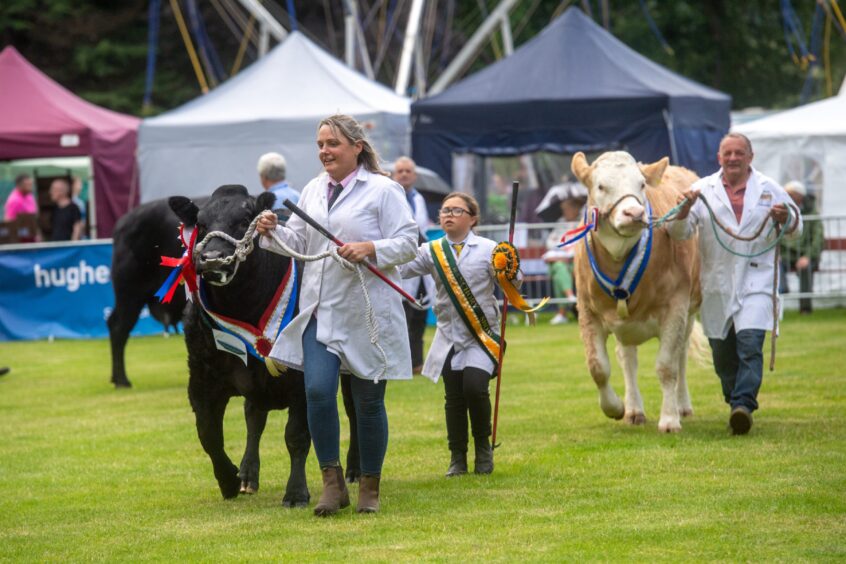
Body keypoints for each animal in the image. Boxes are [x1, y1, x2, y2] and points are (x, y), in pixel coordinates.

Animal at [171, 187, 360, 504]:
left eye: (244, 219)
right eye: (201, 223)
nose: (212, 259)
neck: (244, 306)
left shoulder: (301, 379)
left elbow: (296, 435)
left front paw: (296, 492)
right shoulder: (201, 379)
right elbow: (209, 435)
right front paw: (229, 480)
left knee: (356, 410)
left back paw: (356, 470)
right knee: (254, 418)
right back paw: (248, 475)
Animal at [572, 150, 704, 432]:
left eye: (641, 184)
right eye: (601, 186)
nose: (634, 212)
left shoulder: (676, 307)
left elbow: (667, 366)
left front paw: (669, 419)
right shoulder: (587, 310)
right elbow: (598, 366)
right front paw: (614, 407)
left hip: (690, 312)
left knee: (681, 356)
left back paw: (682, 405)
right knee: (627, 359)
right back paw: (633, 409)